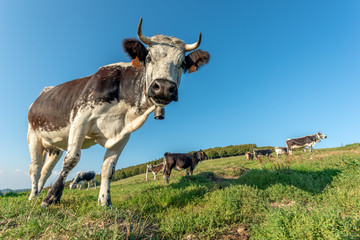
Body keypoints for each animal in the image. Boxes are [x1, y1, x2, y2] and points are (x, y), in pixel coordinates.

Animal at [26, 17, 210, 207]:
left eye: (183, 64)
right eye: (148, 57)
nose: (164, 87)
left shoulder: (123, 134)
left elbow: (109, 168)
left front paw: (104, 202)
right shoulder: (81, 118)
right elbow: (72, 159)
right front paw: (51, 198)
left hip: (55, 146)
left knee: (46, 170)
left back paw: (37, 193)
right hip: (33, 135)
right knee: (35, 168)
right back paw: (33, 196)